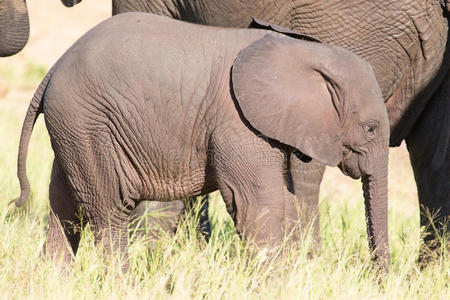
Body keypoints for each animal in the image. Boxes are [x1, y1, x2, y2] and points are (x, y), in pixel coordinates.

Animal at [15, 12, 390, 270]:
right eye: (371, 128)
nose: (376, 277)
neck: (305, 52)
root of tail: (53, 69)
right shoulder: (236, 123)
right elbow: (257, 203)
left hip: (74, 129)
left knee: (65, 207)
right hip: (87, 122)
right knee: (109, 210)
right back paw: (119, 283)